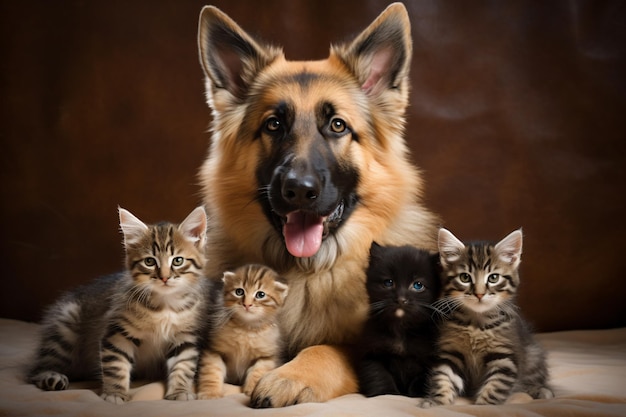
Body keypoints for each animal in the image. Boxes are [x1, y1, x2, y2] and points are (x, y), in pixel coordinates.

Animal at [28, 207, 210, 404]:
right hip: (65, 326)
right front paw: (115, 394)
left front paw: (180, 391)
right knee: (38, 368)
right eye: (149, 261)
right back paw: (51, 377)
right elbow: (116, 367)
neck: (165, 305)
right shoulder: (118, 333)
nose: (164, 277)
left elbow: (183, 366)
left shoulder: (185, 337)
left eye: (178, 260)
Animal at [197, 264, 288, 398]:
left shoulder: (268, 355)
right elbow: (212, 371)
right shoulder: (213, 350)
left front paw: (251, 390)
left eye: (260, 294)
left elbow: (258, 370)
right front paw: (210, 393)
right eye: (239, 292)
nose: (247, 304)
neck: (246, 328)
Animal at [354, 240, 442, 396]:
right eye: (388, 282)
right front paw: (386, 392)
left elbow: (425, 375)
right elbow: (377, 374)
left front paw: (417, 392)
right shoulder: (369, 352)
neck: (401, 329)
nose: (401, 299)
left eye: (418, 285)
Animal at [420, 228, 552, 406]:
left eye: (493, 278)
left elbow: (494, 387)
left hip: (533, 355)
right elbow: (443, 378)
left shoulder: (504, 356)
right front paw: (437, 402)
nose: (479, 294)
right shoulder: (450, 353)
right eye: (465, 277)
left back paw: (540, 391)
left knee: (534, 379)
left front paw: (484, 406)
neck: (476, 325)